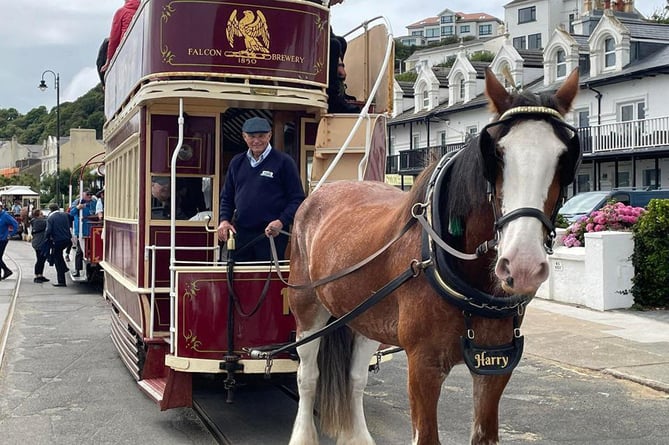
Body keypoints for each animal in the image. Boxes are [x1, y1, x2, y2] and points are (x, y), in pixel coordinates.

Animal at [288, 67, 580, 442]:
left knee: (355, 379)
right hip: (308, 309)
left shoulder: (495, 368)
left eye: (564, 158)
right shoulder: (423, 365)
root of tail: (321, 193)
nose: (524, 264)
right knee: (307, 377)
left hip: (363, 317)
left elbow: (484, 433)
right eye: (497, 155)